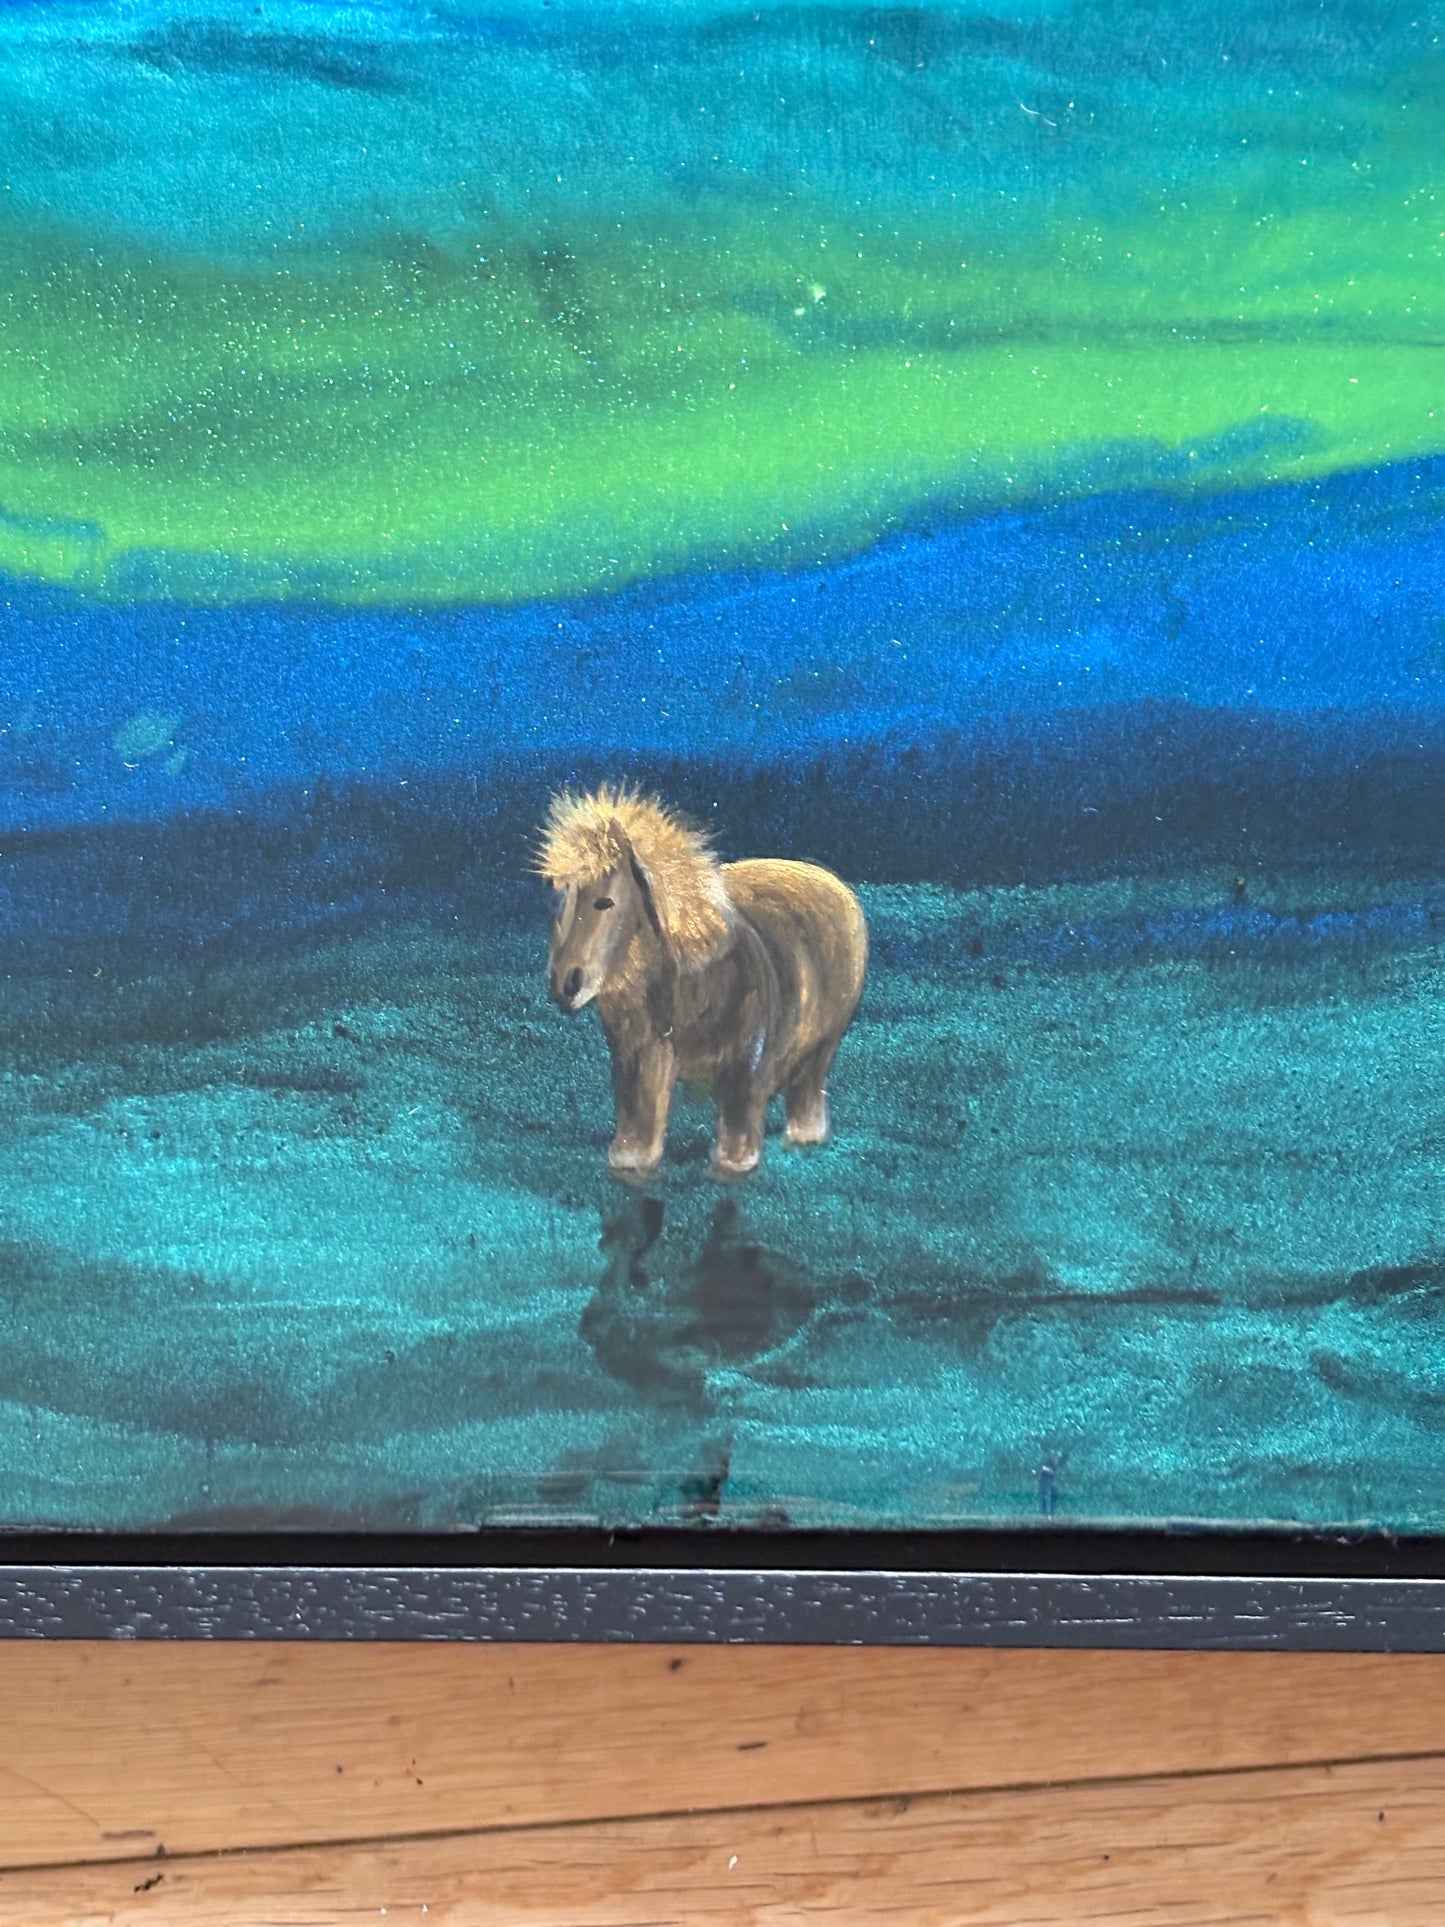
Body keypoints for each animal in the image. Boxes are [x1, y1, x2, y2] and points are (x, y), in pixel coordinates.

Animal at [536, 785, 868, 1179]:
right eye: (559, 900)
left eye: (605, 902)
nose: (565, 982)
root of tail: (832, 883)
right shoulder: (638, 1059)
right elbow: (639, 1117)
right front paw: (631, 1161)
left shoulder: (743, 1065)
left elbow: (737, 1120)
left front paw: (734, 1164)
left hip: (821, 1049)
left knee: (806, 1092)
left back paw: (805, 1137)